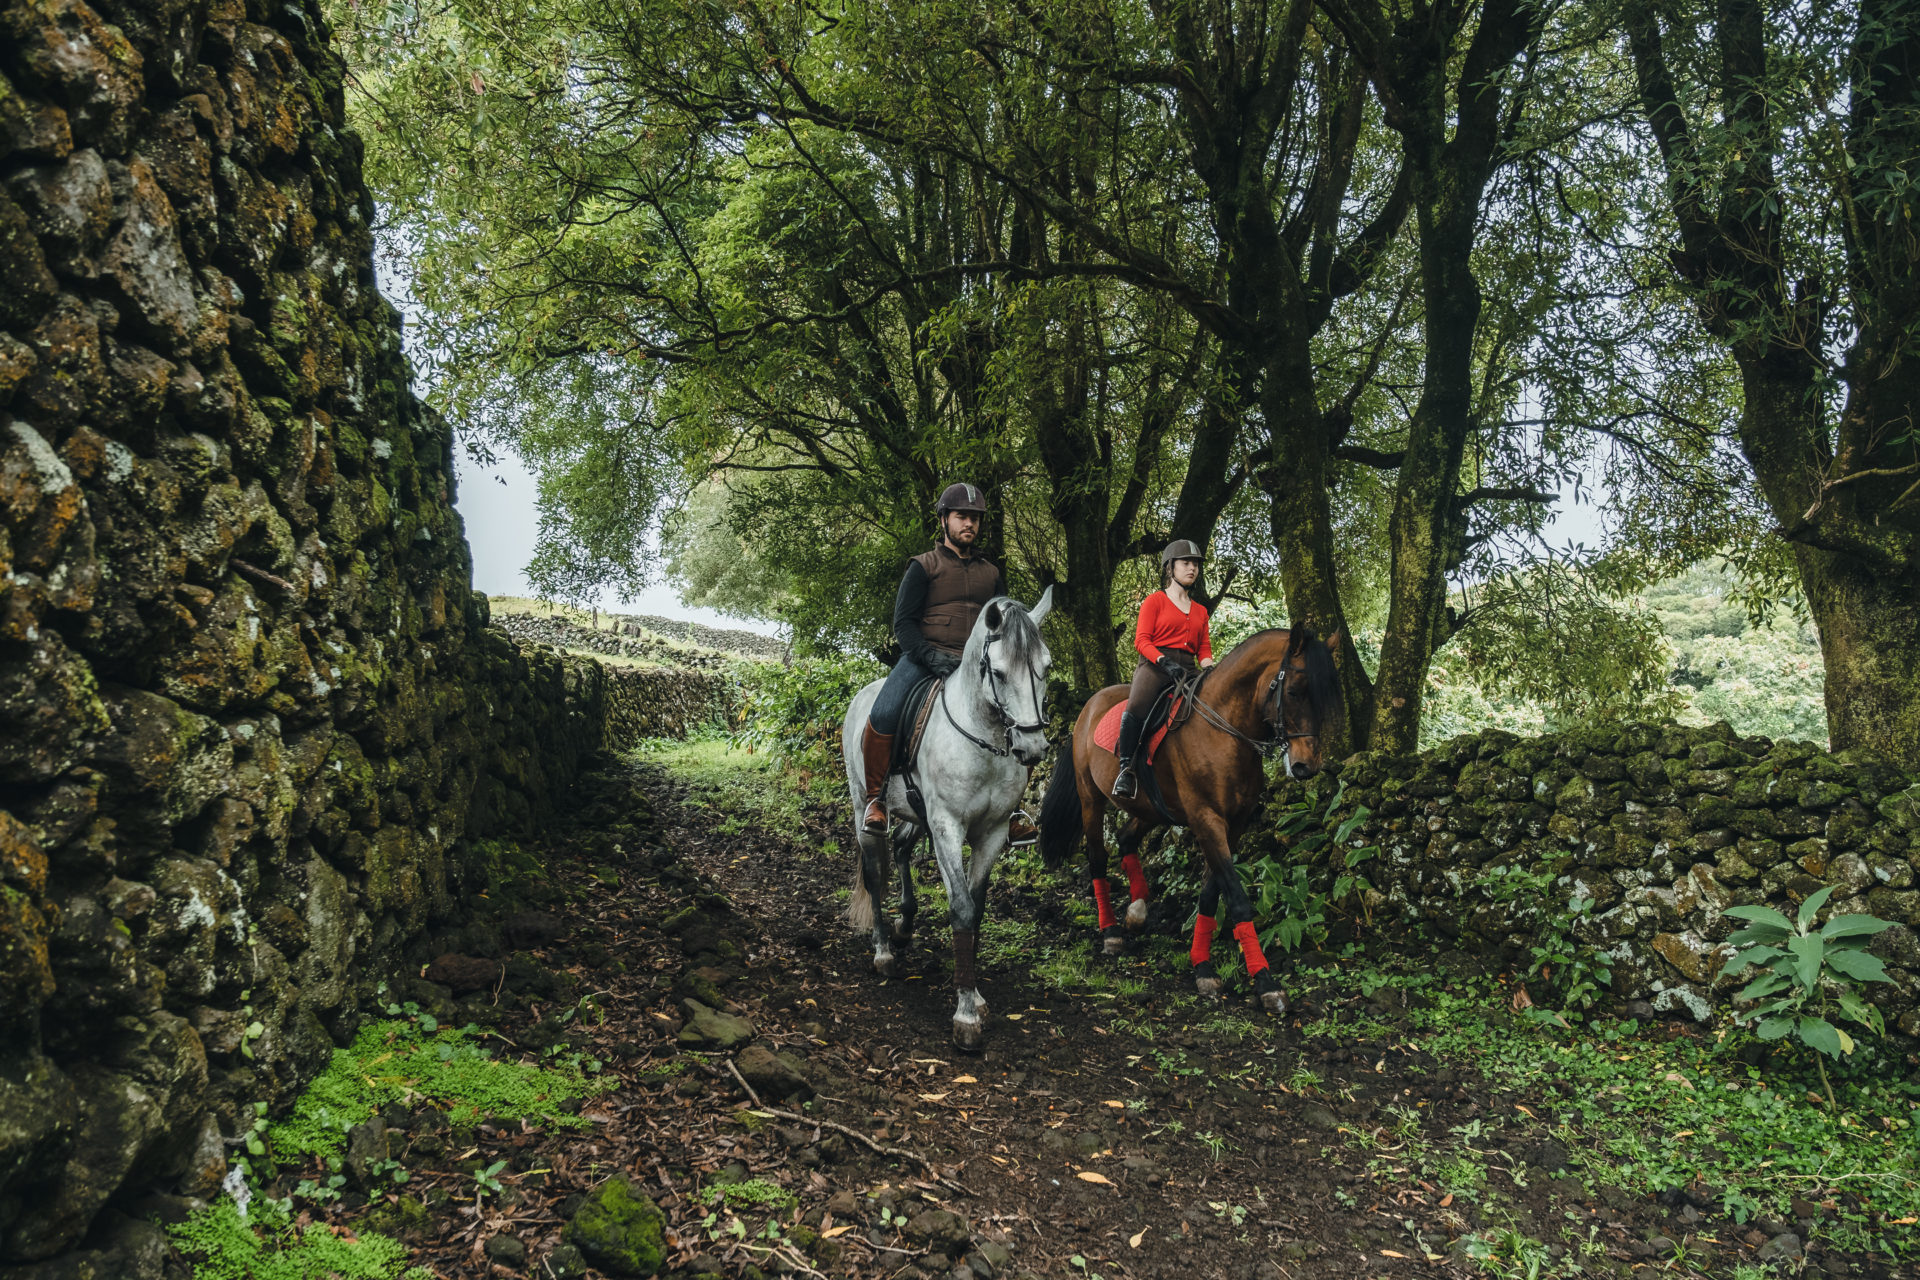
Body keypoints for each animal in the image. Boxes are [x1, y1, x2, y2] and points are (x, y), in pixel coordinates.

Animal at [840, 591, 1052, 1051]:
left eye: (1046, 668)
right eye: (998, 672)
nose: (1031, 748)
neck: (984, 739)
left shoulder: (992, 833)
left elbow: (978, 906)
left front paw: (975, 996)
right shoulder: (948, 827)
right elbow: (961, 907)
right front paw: (966, 1015)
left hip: (917, 815)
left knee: (902, 847)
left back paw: (904, 926)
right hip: (864, 806)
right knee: (875, 872)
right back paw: (884, 951)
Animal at [1036, 625, 1336, 1013]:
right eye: (1296, 691)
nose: (1305, 766)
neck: (1223, 731)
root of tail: (1089, 705)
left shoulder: (1233, 825)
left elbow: (1210, 894)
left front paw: (1202, 966)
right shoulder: (1206, 819)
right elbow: (1236, 897)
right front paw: (1266, 981)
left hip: (1150, 808)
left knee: (1127, 838)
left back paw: (1137, 911)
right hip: (1091, 799)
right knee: (1098, 859)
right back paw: (1112, 932)